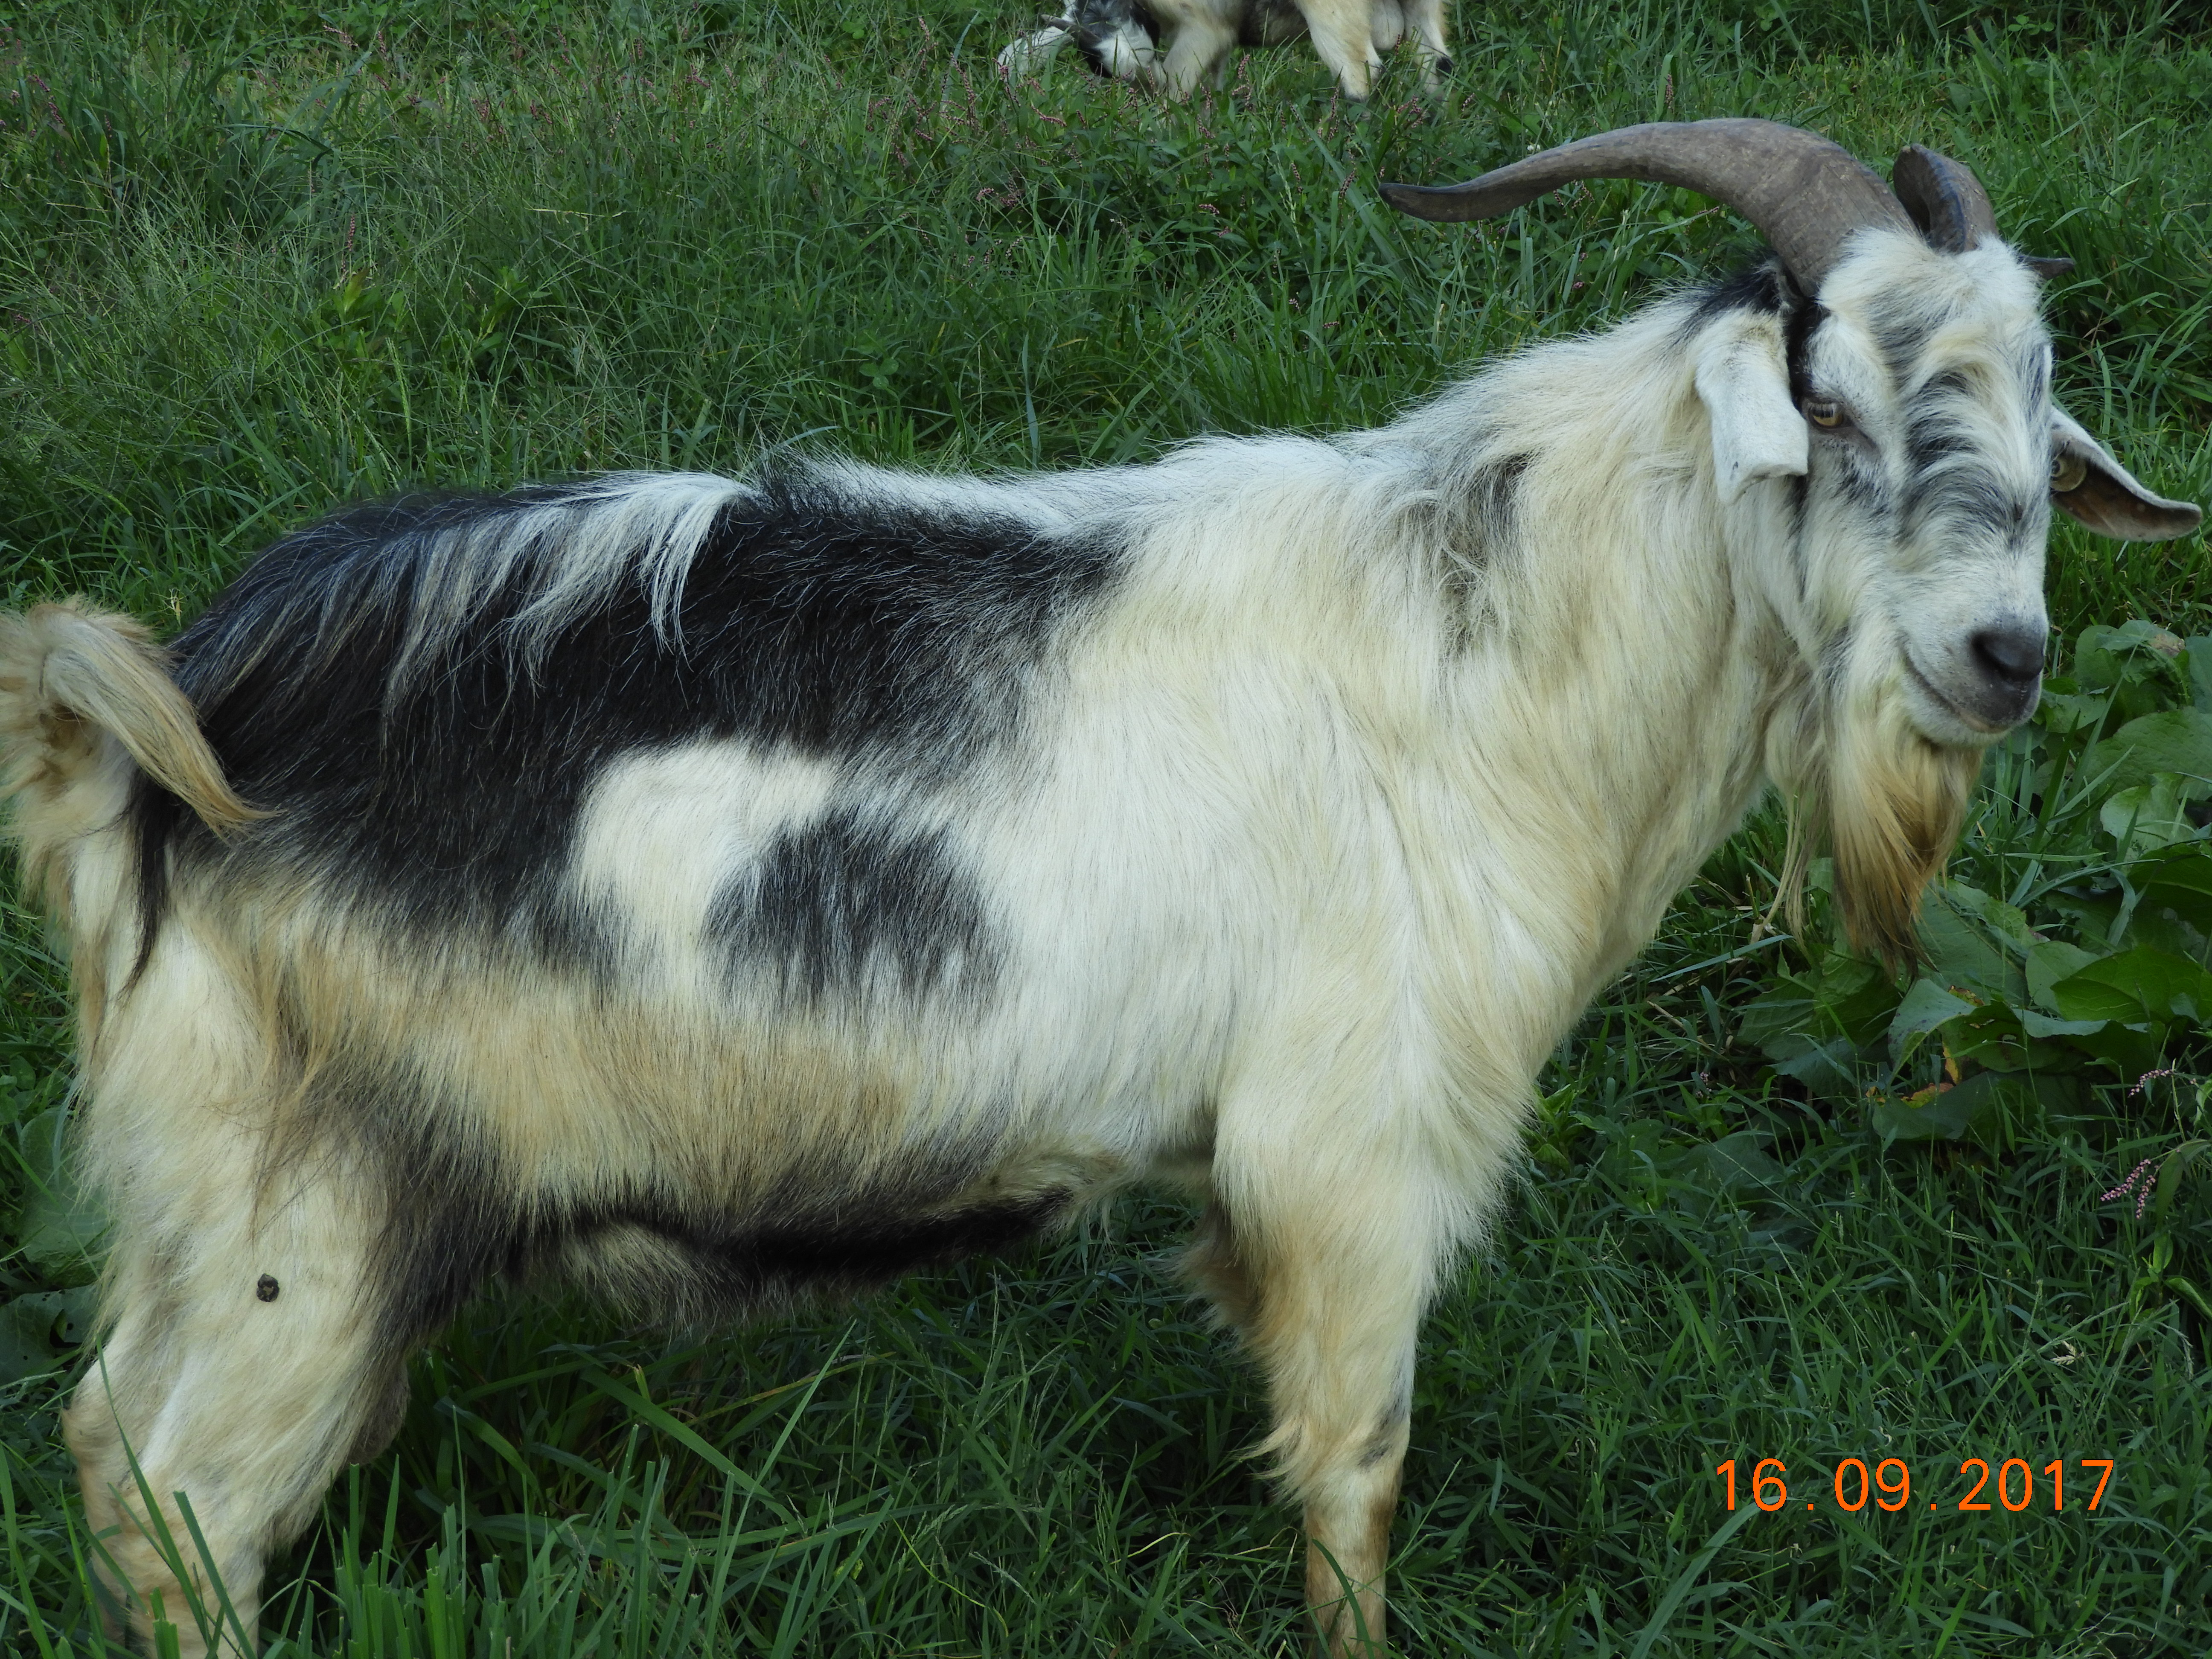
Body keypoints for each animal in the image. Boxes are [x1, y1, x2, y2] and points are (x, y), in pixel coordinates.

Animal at [2, 119, 2198, 1657]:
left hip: (207, 1208)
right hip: (315, 1215)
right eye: (1831, 401)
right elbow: (1355, 1478)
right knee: (186, 1510)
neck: (1480, 665)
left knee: (109, 1445)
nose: (2004, 652)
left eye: (2036, 402)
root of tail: (168, 730)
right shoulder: (1356, 1150)